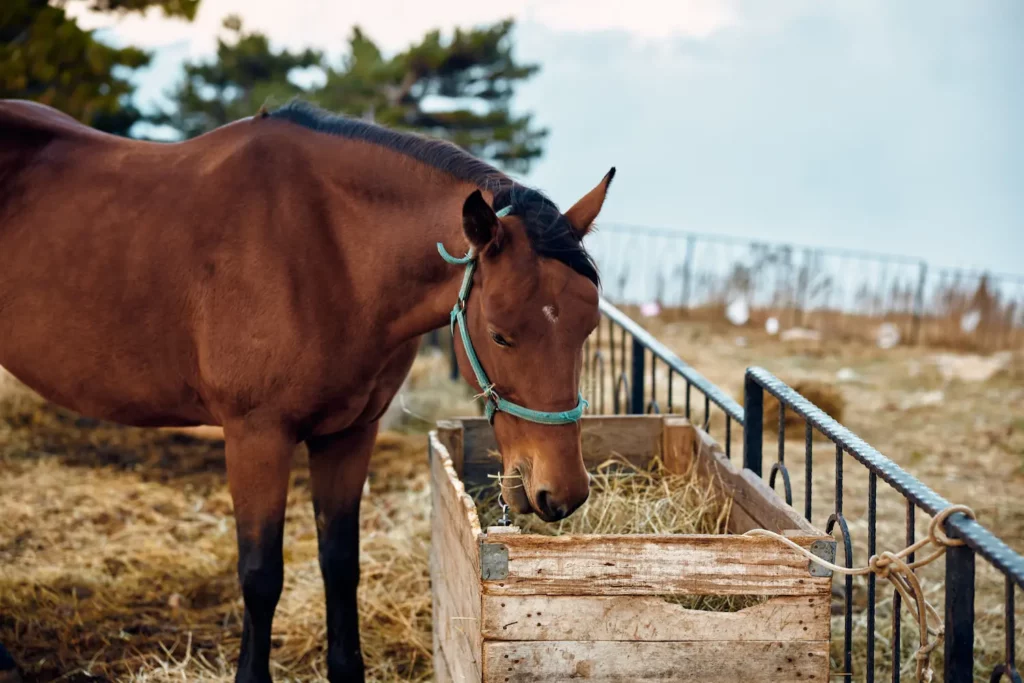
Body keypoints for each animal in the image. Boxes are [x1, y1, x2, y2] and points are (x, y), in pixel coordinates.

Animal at [0, 98, 614, 683]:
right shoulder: (256, 438)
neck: (327, 249)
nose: (561, 491)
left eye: (588, 327)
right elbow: (260, 575)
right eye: (500, 334)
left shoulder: (349, 435)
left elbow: (340, 564)